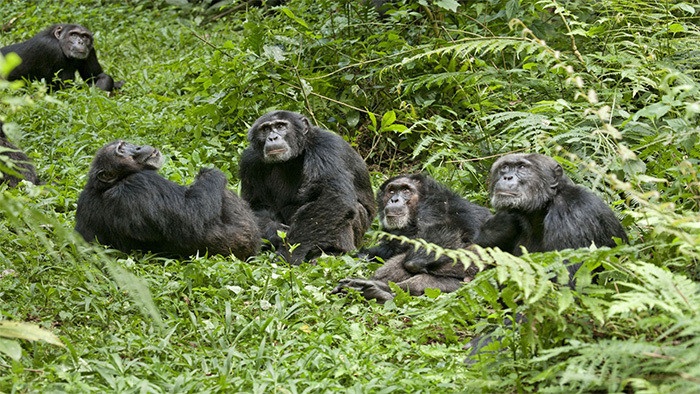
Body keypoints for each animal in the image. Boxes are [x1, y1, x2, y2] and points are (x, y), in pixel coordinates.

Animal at [74, 141, 260, 258]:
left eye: (124, 144)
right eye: (121, 150)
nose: (137, 147)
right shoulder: (142, 184)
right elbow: (191, 217)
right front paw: (209, 173)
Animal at [238, 110, 374, 264]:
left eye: (280, 126)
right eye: (265, 129)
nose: (272, 137)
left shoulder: (326, 147)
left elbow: (333, 197)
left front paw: (288, 254)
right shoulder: (249, 162)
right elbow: (255, 205)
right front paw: (277, 232)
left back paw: (334, 253)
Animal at [464, 153, 628, 364]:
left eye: (522, 167)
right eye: (505, 167)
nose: (507, 177)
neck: (542, 208)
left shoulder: (572, 219)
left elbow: (565, 298)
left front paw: (485, 344)